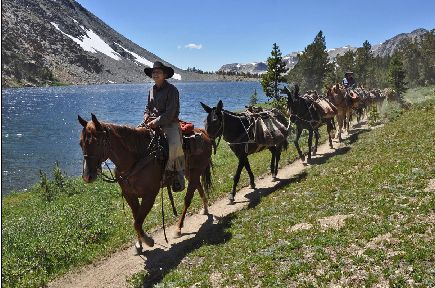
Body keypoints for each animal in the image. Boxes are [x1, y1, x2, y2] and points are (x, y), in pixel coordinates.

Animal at [80, 113, 215, 251]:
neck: (136, 160)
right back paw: (205, 209)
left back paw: (178, 228)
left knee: (188, 199)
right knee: (198, 186)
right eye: (81, 143)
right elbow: (136, 218)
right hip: (190, 173)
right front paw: (139, 243)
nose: (87, 176)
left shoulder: (150, 195)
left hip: (195, 172)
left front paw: (148, 240)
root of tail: (203, 133)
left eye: (97, 143)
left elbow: (137, 222)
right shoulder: (129, 195)